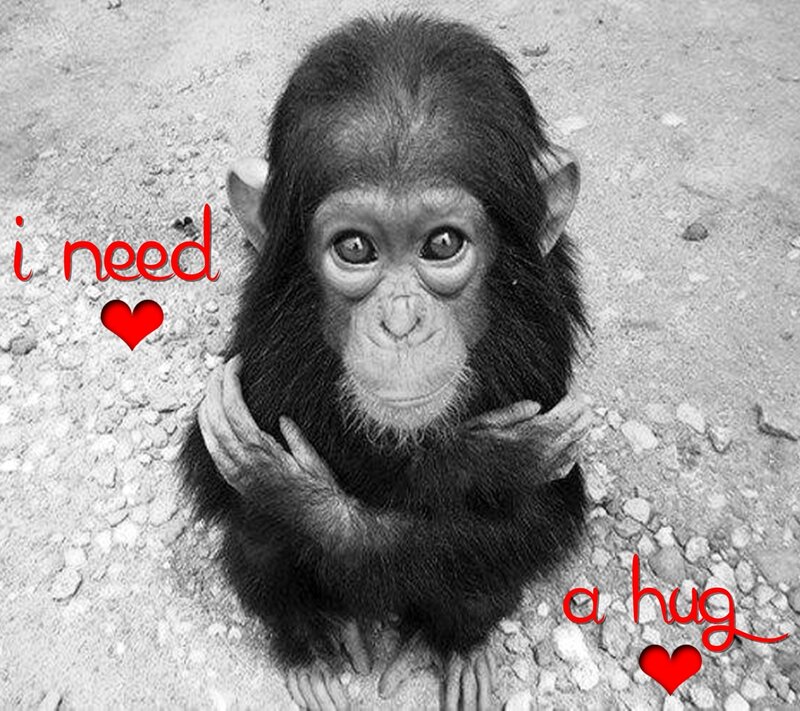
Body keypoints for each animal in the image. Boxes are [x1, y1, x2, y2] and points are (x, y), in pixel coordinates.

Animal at [181, 13, 591, 711]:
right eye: (355, 248)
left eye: (443, 243)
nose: (400, 323)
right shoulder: (259, 364)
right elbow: (226, 476)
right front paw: (294, 490)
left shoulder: (539, 349)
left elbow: (534, 511)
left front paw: (491, 458)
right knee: (257, 530)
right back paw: (313, 650)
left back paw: (452, 646)